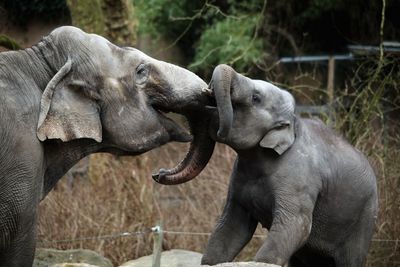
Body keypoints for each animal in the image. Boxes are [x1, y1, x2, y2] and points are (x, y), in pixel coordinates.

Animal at [154, 65, 378, 267]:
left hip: (364, 218)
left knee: (350, 258)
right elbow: (232, 226)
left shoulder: (299, 178)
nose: (158, 173)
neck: (294, 123)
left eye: (255, 98)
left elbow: (296, 226)